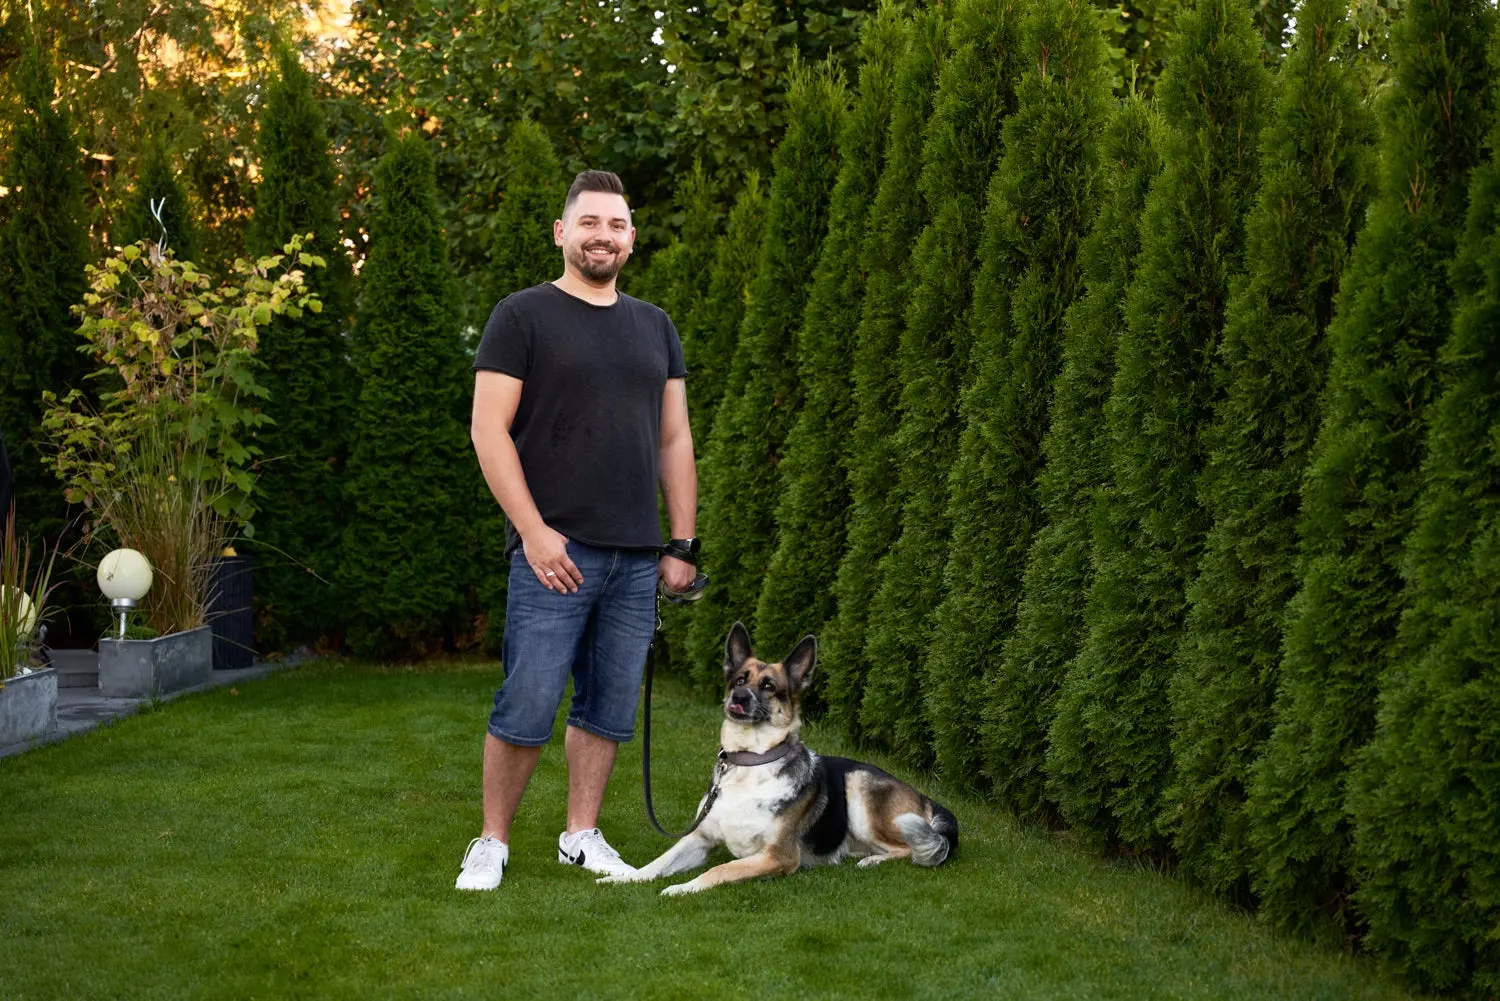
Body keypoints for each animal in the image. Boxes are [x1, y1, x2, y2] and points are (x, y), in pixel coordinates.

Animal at [594, 621, 954, 894]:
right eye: (739, 679)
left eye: (769, 686)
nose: (739, 697)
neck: (749, 761)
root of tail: (927, 798)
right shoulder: (699, 838)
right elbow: (658, 863)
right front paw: (625, 877)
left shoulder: (776, 856)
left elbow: (721, 869)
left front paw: (683, 888)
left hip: (860, 787)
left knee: (908, 848)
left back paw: (874, 861)